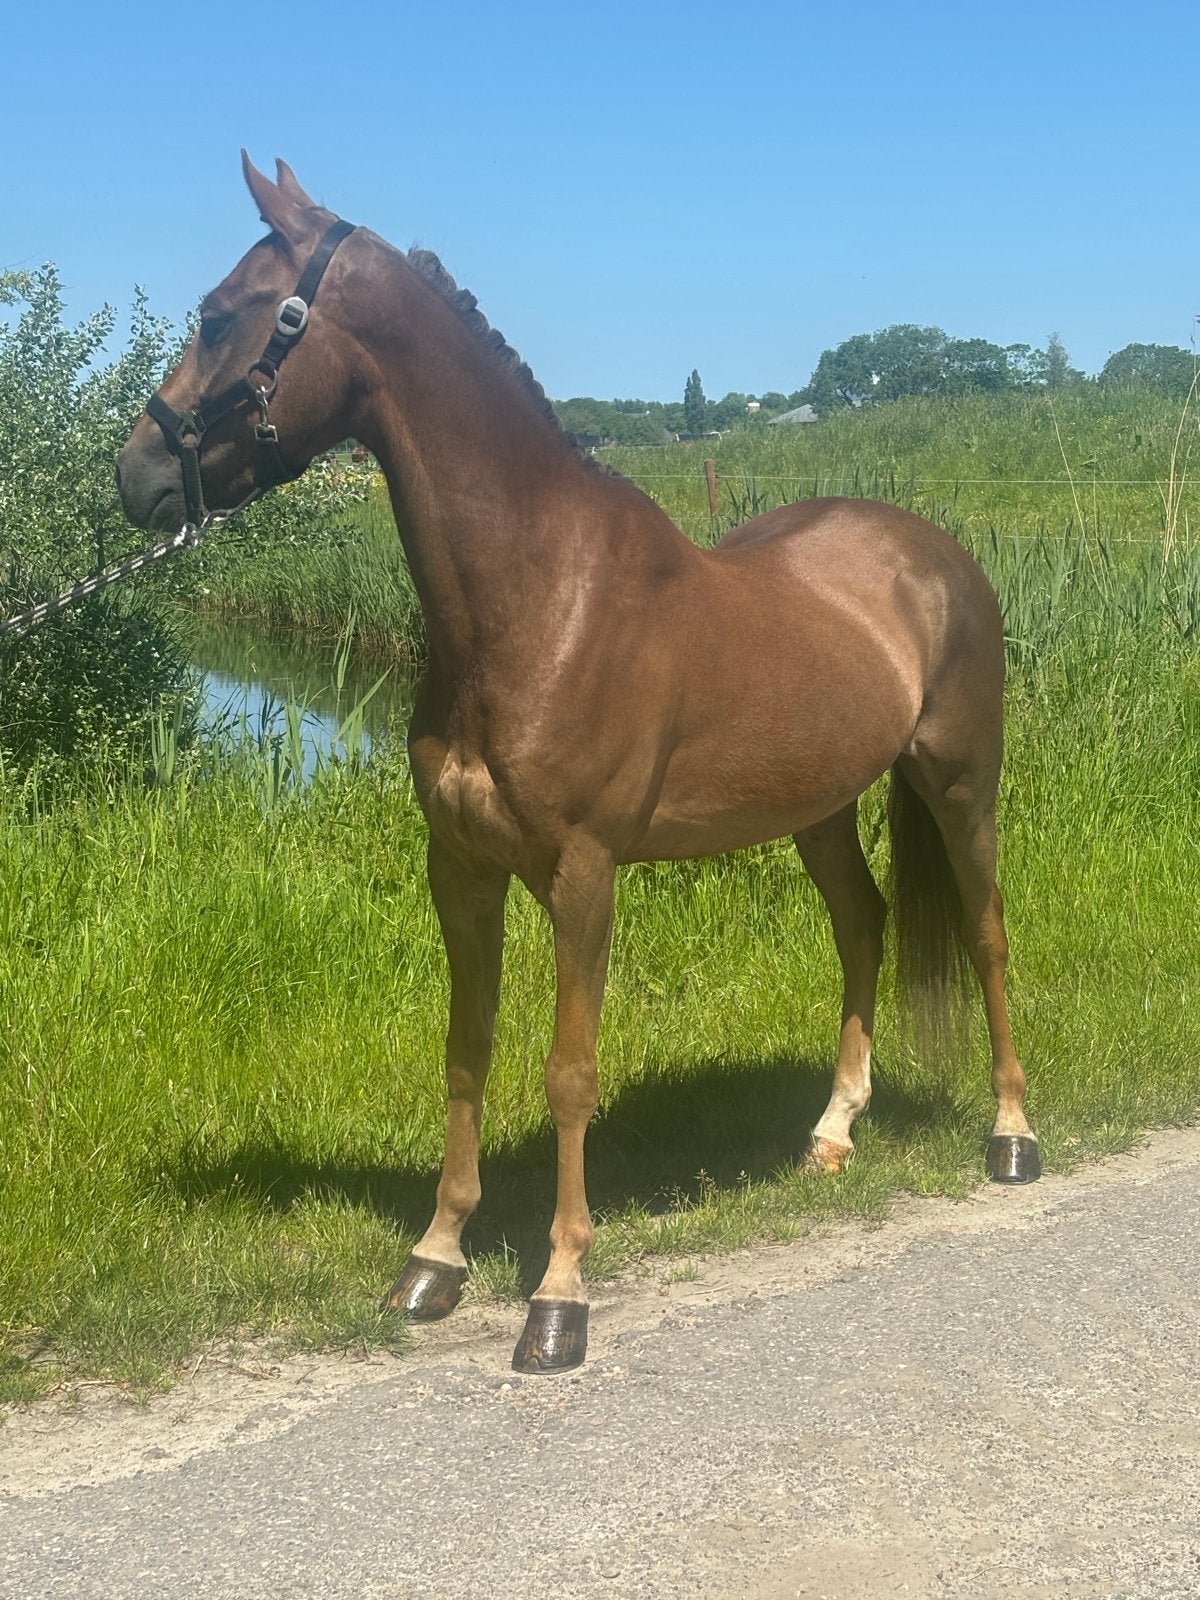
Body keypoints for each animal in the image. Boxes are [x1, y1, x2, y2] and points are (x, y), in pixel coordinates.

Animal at [116, 155, 1039, 1374]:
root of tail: (932, 554)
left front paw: (558, 1295)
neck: (538, 596)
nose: (133, 479)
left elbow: (569, 1074)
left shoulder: (584, 872)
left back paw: (1013, 1134)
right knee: (864, 926)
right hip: (820, 808)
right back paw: (833, 1132)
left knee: (984, 934)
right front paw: (434, 1260)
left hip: (960, 783)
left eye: (223, 314)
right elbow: (465, 1051)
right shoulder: (459, 868)